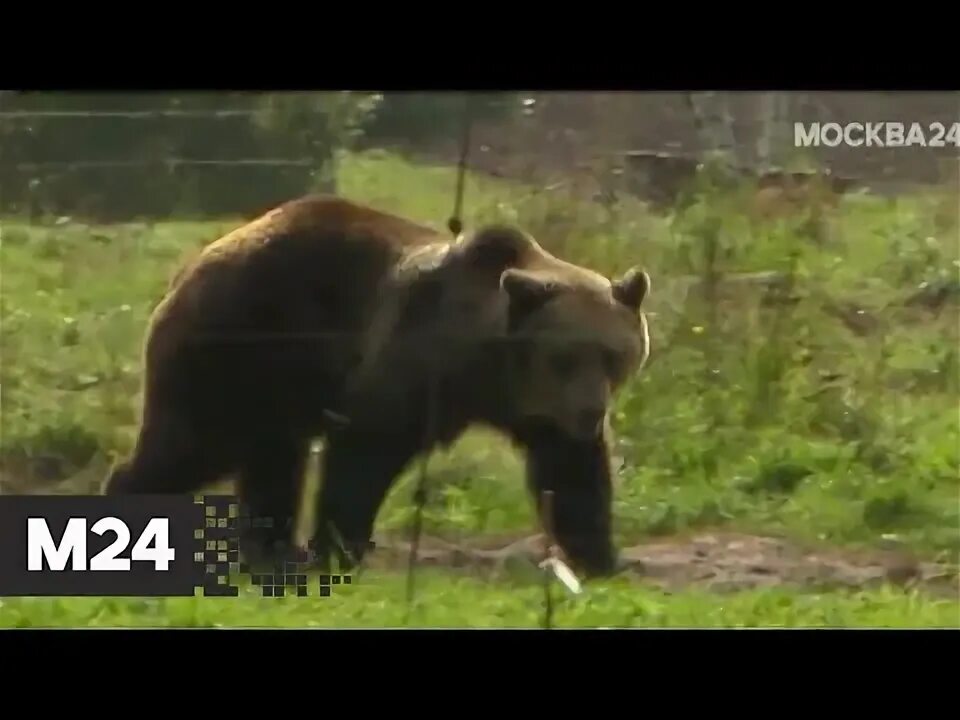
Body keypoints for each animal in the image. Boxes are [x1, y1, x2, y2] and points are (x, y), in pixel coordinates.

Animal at [109, 194, 656, 576]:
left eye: (614, 356)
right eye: (565, 357)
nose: (591, 412)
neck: (485, 363)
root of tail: (194, 263)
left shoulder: (535, 406)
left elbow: (571, 470)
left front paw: (603, 558)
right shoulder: (410, 357)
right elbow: (365, 450)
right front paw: (337, 548)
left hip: (278, 377)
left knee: (271, 457)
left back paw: (269, 549)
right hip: (241, 341)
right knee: (194, 442)